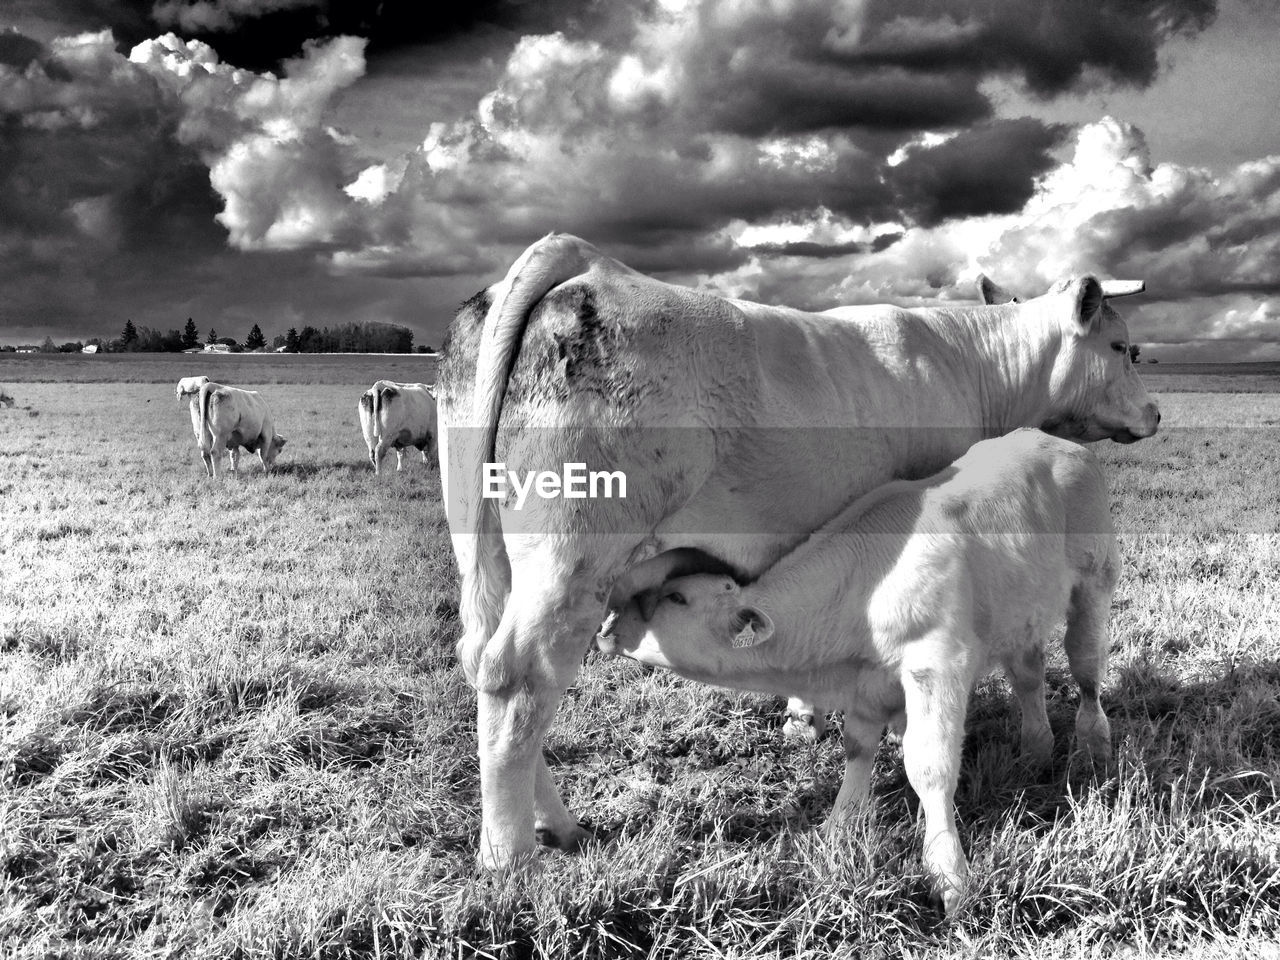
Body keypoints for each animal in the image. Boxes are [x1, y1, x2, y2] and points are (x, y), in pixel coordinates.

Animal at [593, 430, 1116, 916]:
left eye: (677, 598)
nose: (605, 629)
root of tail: (1057, 441)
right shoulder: (866, 686)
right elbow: (858, 751)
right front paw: (837, 828)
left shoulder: (937, 666)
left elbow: (929, 767)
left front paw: (948, 873)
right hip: (1020, 616)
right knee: (1028, 678)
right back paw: (1035, 747)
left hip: (1094, 585)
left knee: (1086, 671)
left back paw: (1094, 745)